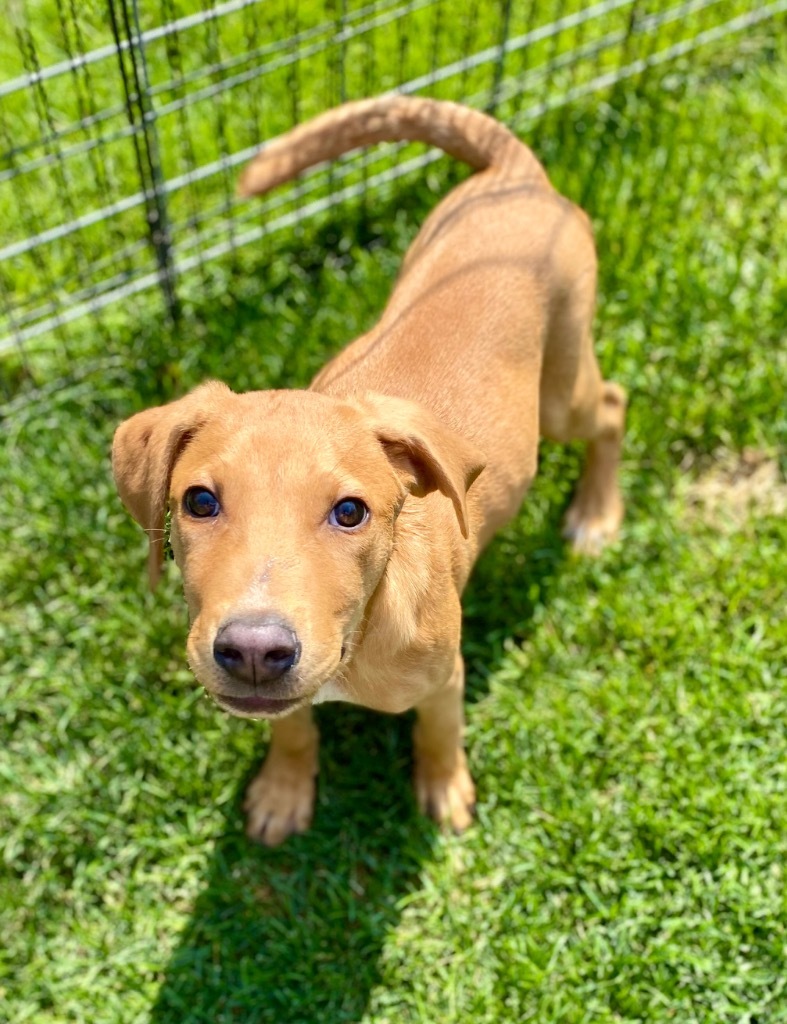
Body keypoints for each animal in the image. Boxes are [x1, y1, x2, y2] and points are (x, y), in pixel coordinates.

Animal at [112, 96, 626, 847]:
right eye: (199, 502)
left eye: (349, 512)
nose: (254, 651)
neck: (359, 633)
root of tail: (513, 175)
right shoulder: (286, 697)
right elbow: (292, 727)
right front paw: (284, 790)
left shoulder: (444, 676)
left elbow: (437, 734)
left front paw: (444, 793)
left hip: (563, 390)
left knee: (612, 406)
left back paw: (595, 514)